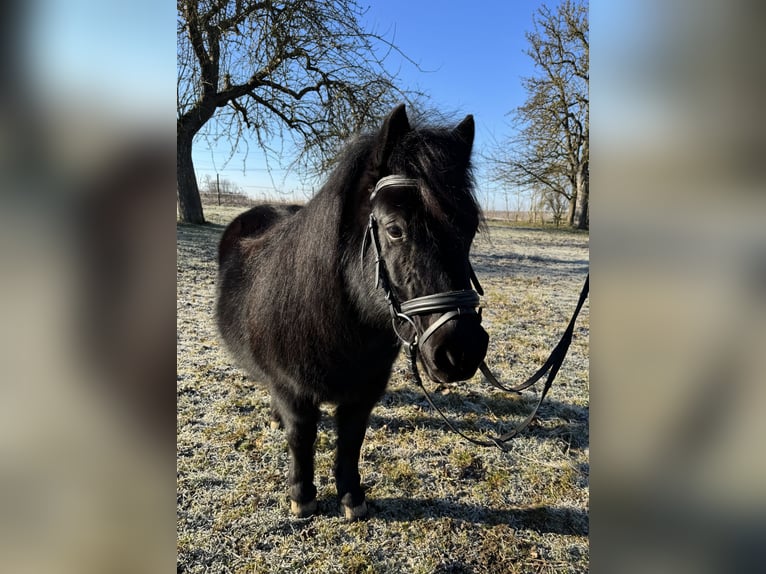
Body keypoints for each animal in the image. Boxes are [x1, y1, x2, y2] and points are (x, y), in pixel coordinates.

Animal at [216, 104, 492, 520]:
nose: (461, 350)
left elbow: (350, 442)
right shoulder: (293, 392)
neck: (340, 326)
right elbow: (301, 438)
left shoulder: (364, 394)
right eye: (394, 229)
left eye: (470, 228)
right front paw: (302, 497)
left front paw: (351, 497)